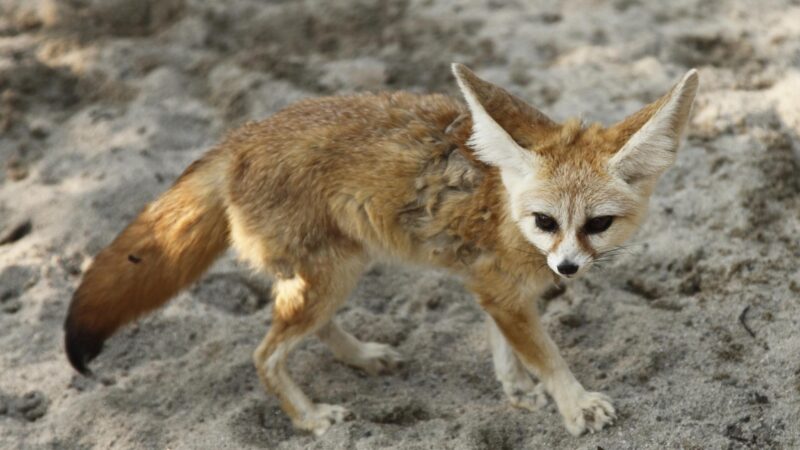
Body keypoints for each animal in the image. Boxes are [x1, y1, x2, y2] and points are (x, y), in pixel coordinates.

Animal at [65, 63, 696, 436]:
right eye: (545, 221)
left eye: (598, 224)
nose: (565, 268)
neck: (504, 206)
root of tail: (240, 138)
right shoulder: (501, 289)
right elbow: (547, 355)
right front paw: (574, 404)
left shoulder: (495, 291)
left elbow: (506, 348)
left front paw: (517, 392)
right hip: (333, 274)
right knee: (265, 355)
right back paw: (313, 419)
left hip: (336, 271)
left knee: (305, 329)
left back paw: (363, 356)